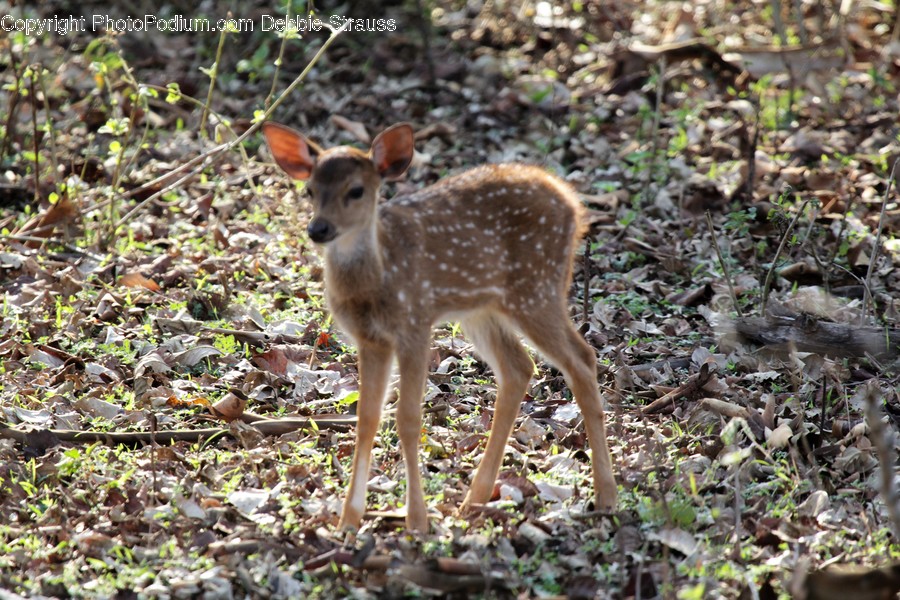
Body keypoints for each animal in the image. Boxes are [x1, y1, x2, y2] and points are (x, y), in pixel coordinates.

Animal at [260, 120, 620, 528]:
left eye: (356, 190)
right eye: (309, 190)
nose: (318, 229)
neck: (377, 278)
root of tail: (571, 202)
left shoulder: (415, 324)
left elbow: (408, 418)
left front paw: (416, 521)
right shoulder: (371, 339)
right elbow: (367, 418)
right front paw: (348, 522)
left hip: (536, 289)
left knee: (582, 359)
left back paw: (606, 496)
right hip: (482, 308)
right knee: (519, 367)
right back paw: (474, 499)